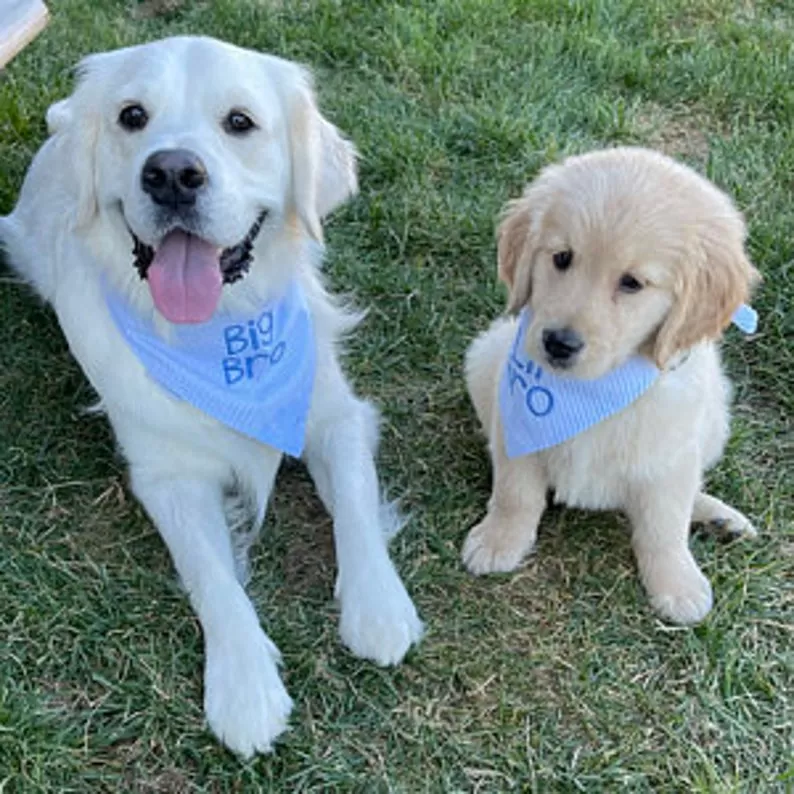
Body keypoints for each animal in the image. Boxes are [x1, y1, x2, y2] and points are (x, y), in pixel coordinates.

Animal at [1, 35, 420, 756]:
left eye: (240, 122)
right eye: (132, 116)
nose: (172, 174)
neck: (224, 331)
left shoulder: (335, 413)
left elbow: (358, 504)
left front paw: (379, 606)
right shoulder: (167, 475)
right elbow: (212, 577)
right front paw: (245, 687)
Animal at [460, 145, 756, 620]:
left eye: (632, 283)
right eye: (562, 258)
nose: (558, 343)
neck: (592, 389)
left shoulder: (671, 454)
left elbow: (664, 526)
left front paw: (677, 583)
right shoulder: (513, 430)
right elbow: (515, 493)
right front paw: (499, 540)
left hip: (715, 417)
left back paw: (718, 517)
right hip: (483, 360)